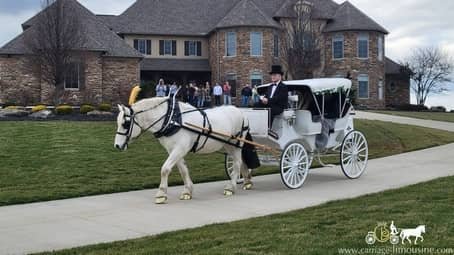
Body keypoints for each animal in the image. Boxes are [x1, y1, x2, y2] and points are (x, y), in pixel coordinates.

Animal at [114, 96, 252, 204]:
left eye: (125, 124)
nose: (117, 146)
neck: (172, 119)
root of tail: (240, 111)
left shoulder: (180, 148)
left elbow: (165, 169)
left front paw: (161, 194)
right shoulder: (173, 149)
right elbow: (183, 170)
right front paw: (187, 191)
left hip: (236, 144)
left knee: (237, 163)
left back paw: (231, 187)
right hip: (228, 145)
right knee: (241, 162)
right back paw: (247, 181)